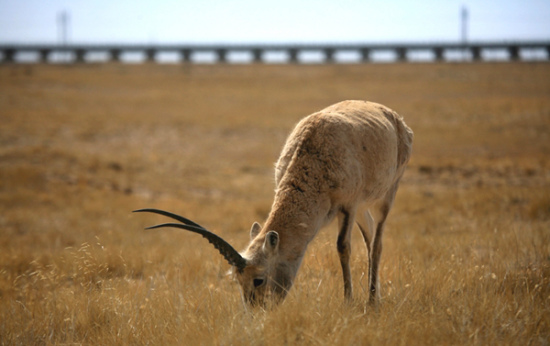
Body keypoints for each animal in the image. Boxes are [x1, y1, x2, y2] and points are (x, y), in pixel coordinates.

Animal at [137, 99, 414, 306]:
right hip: (364, 208)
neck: (315, 152)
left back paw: (372, 301)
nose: (256, 312)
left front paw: (348, 302)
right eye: (237, 280)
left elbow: (342, 247)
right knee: (370, 235)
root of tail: (395, 119)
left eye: (259, 279)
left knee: (377, 241)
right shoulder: (346, 208)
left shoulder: (348, 205)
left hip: (386, 195)